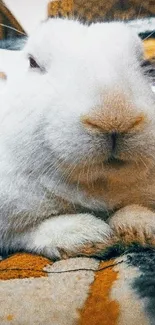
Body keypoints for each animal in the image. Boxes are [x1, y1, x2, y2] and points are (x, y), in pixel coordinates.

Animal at [0, 19, 155, 258]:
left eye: (144, 65)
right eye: (33, 63)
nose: (115, 118)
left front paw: (141, 226)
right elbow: (28, 231)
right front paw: (90, 235)